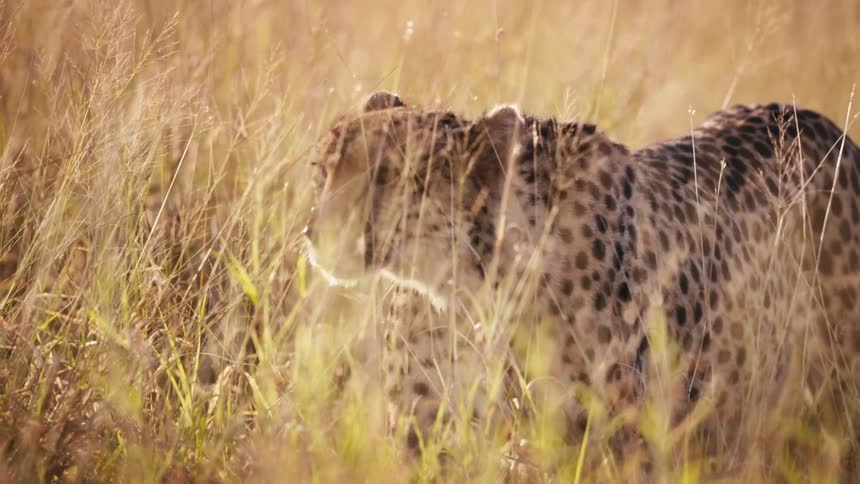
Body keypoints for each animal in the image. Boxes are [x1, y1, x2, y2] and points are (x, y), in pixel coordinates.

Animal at [304, 90, 860, 474]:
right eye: (322, 170)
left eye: (387, 175)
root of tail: (809, 117)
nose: (314, 231)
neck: (463, 289)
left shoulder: (602, 443)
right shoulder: (424, 434)